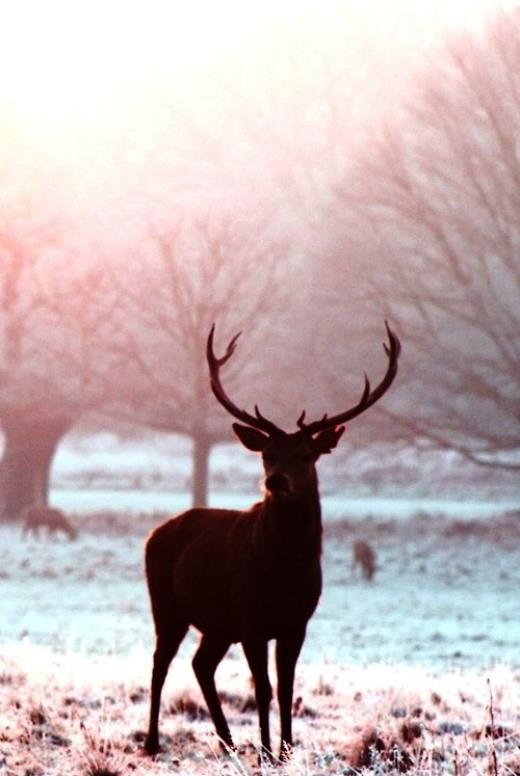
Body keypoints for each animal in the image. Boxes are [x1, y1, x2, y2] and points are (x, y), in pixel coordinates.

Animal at [144, 320, 400, 756]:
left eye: (306, 456)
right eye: (267, 454)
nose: (275, 480)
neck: (286, 571)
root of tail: (153, 534)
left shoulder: (297, 622)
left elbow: (285, 689)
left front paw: (285, 750)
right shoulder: (251, 618)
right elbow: (261, 689)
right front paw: (265, 751)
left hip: (217, 624)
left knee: (200, 664)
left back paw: (228, 740)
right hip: (167, 605)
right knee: (161, 663)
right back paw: (152, 741)